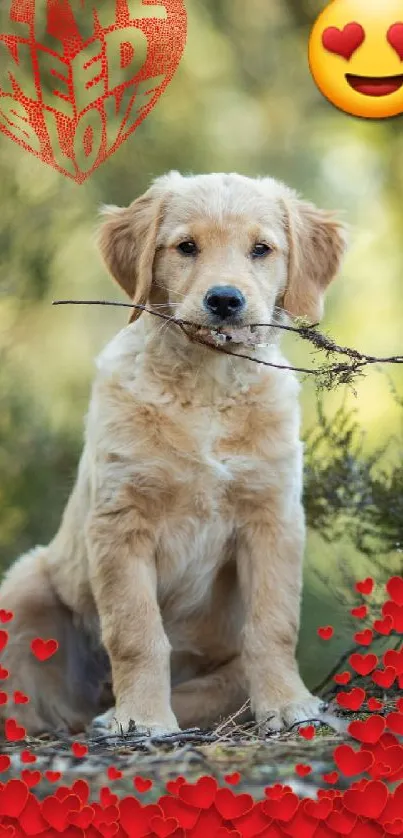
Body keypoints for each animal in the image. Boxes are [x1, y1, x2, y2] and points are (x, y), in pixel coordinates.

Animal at [0, 174, 348, 740]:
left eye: (261, 249)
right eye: (186, 247)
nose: (224, 300)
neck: (207, 385)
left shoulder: (272, 517)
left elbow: (273, 623)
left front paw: (287, 704)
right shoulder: (120, 522)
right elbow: (136, 631)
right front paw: (141, 718)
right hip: (27, 582)